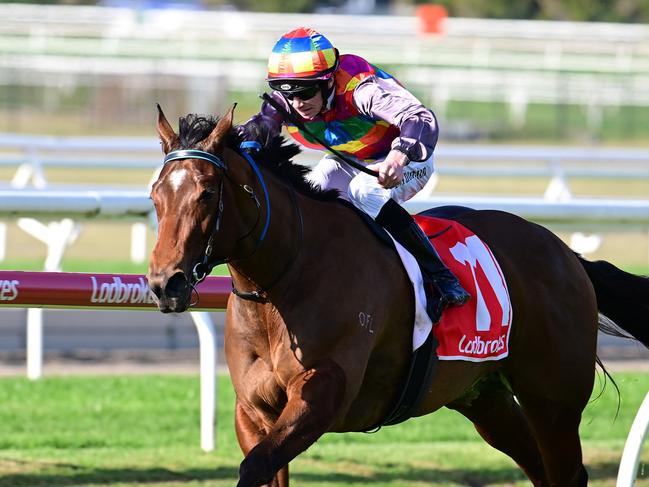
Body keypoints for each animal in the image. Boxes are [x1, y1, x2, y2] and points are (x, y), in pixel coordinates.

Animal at [147, 105, 648, 486]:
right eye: (154, 195)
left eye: (206, 193)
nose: (165, 282)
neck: (285, 279)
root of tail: (565, 253)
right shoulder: (253, 412)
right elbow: (262, 464)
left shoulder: (324, 395)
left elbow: (255, 466)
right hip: (484, 397)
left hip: (554, 399)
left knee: (566, 472)